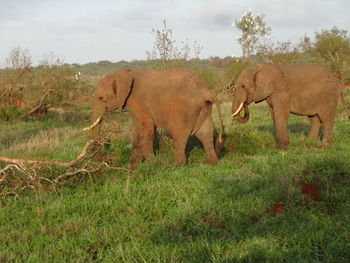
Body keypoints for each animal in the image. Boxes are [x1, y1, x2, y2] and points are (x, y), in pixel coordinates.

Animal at [84, 68, 224, 167]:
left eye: (101, 98)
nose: (106, 161)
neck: (121, 74)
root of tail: (206, 91)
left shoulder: (138, 102)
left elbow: (147, 127)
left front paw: (151, 162)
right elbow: (137, 129)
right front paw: (135, 163)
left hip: (185, 110)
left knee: (179, 134)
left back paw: (175, 164)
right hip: (204, 109)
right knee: (206, 134)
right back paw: (211, 163)